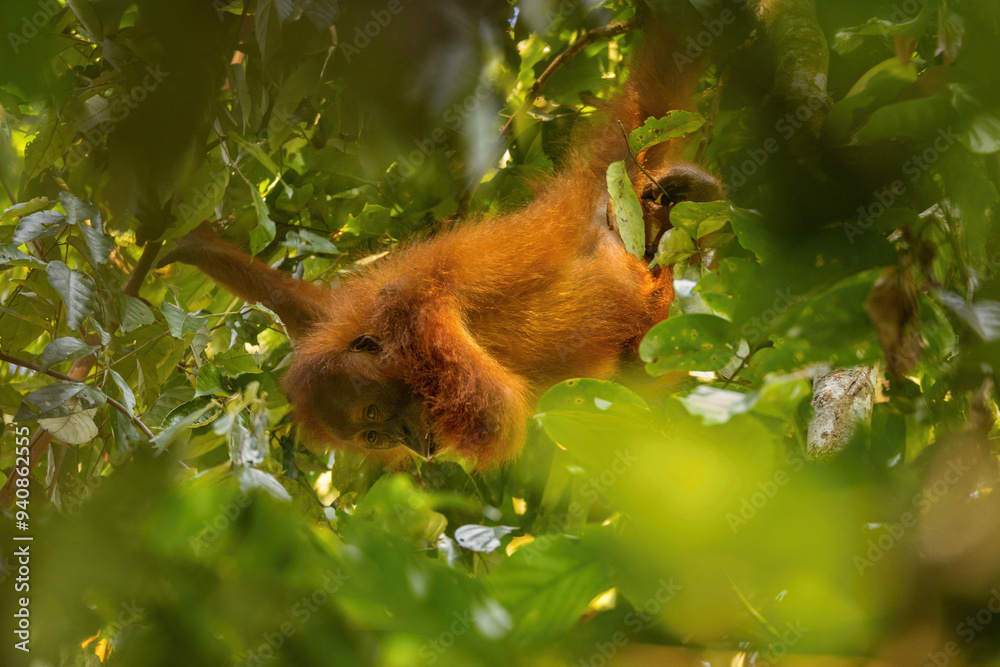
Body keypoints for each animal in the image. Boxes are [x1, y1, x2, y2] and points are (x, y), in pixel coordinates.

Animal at [158, 23, 724, 470]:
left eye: (372, 415)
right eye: (373, 435)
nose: (416, 445)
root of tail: (578, 201)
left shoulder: (410, 308)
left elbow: (497, 413)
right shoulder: (341, 317)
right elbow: (307, 306)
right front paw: (189, 241)